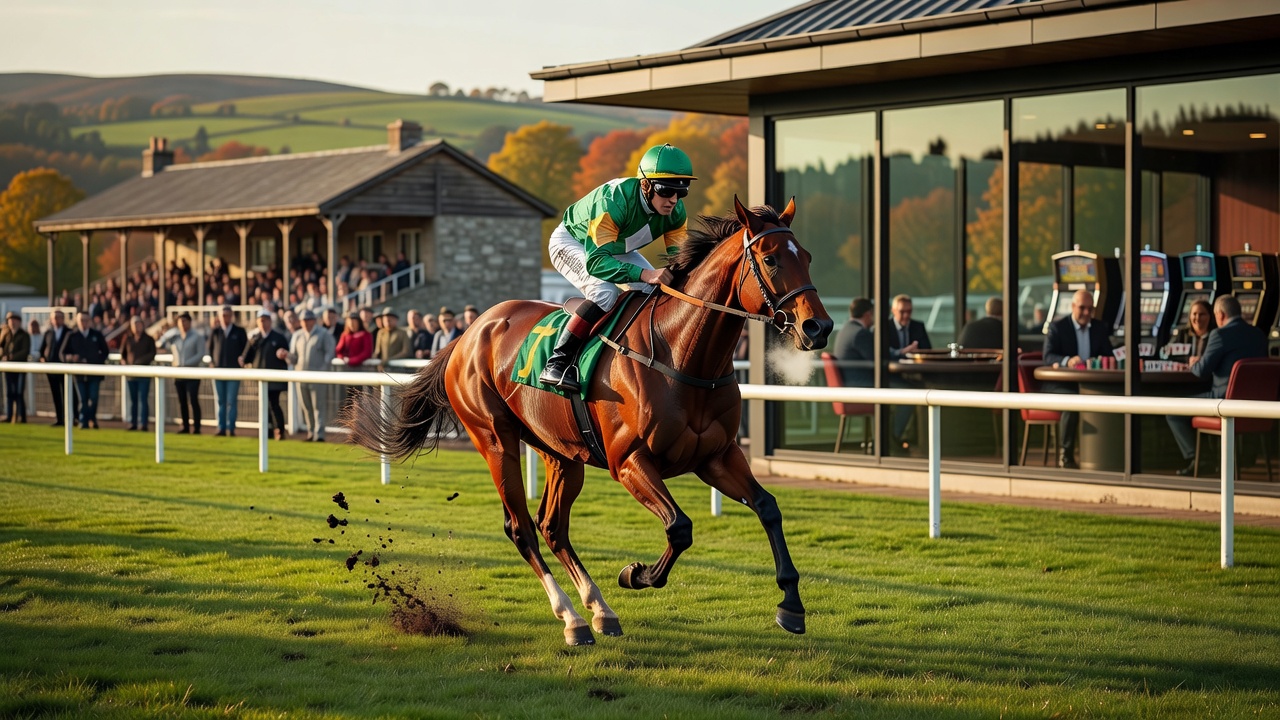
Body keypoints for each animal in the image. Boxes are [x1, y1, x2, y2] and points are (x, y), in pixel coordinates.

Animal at [348, 196, 833, 645]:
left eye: (809, 256)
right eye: (770, 259)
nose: (818, 328)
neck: (680, 352)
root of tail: (468, 334)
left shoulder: (717, 456)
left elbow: (768, 508)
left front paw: (791, 606)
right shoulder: (629, 461)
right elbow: (679, 527)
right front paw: (635, 574)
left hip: (561, 451)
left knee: (552, 526)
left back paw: (599, 611)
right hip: (494, 439)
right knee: (521, 528)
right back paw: (572, 619)